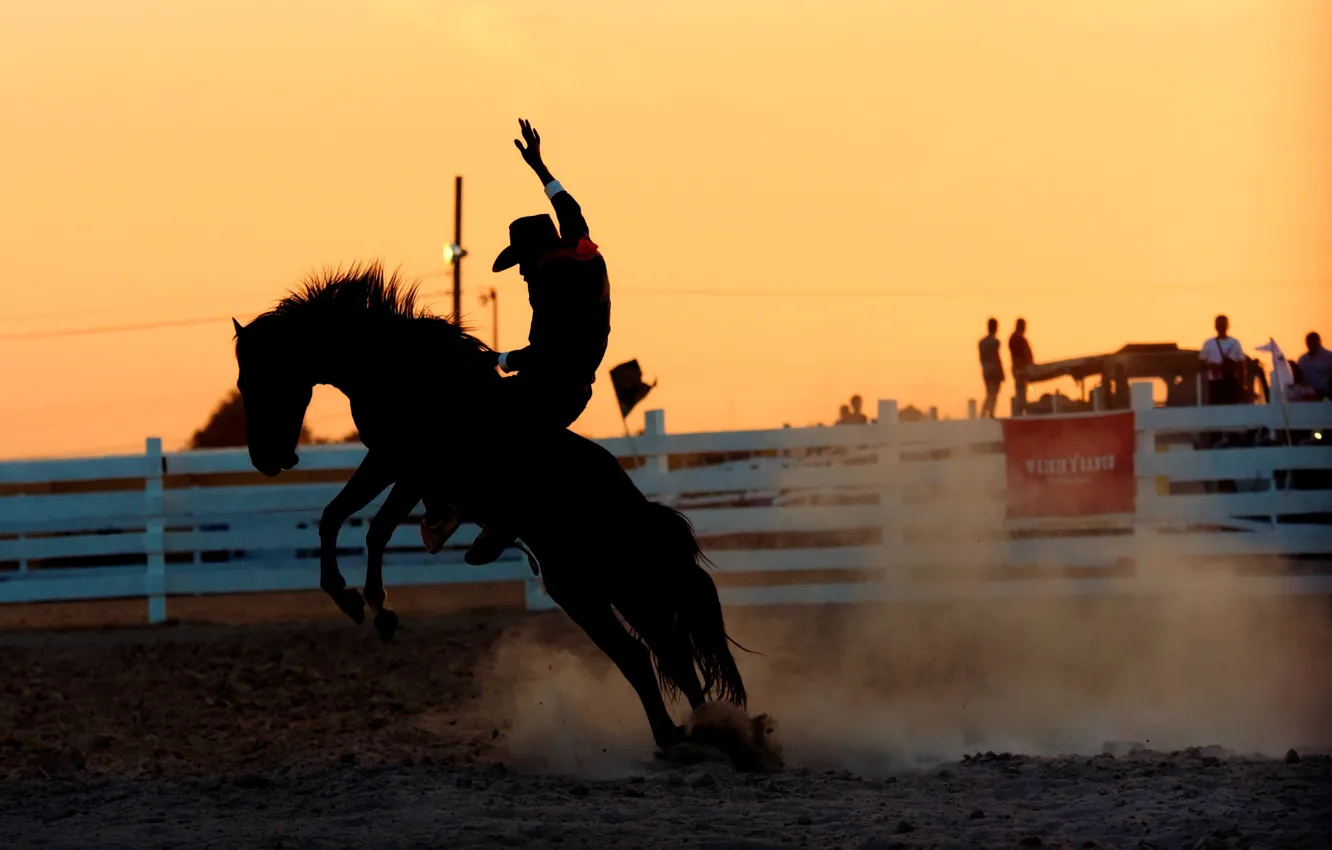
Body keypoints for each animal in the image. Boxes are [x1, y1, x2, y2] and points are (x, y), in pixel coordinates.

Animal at [230, 262, 747, 749]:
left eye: (260, 377)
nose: (266, 459)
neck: (403, 372)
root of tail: (644, 514)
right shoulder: (396, 467)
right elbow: (346, 519)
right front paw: (363, 602)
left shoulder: (403, 466)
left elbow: (363, 525)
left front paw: (366, 603)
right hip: (611, 589)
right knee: (670, 654)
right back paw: (711, 734)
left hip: (591, 588)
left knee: (647, 655)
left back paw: (679, 737)